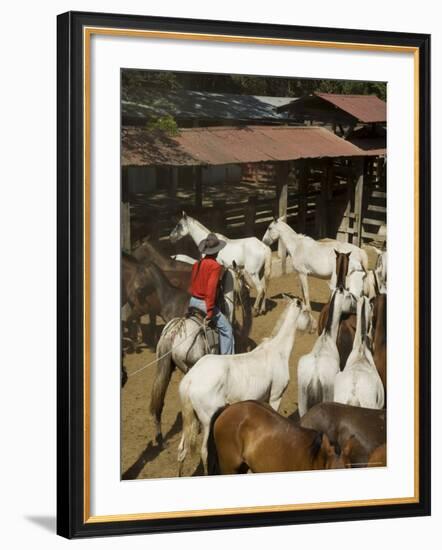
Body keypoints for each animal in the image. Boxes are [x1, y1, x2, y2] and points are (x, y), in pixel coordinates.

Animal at [176, 296, 310, 476]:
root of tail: (190, 379)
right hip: (207, 421)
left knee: (181, 450)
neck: (278, 351)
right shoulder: (276, 396)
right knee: (205, 452)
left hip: (190, 418)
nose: (313, 326)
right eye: (306, 311)